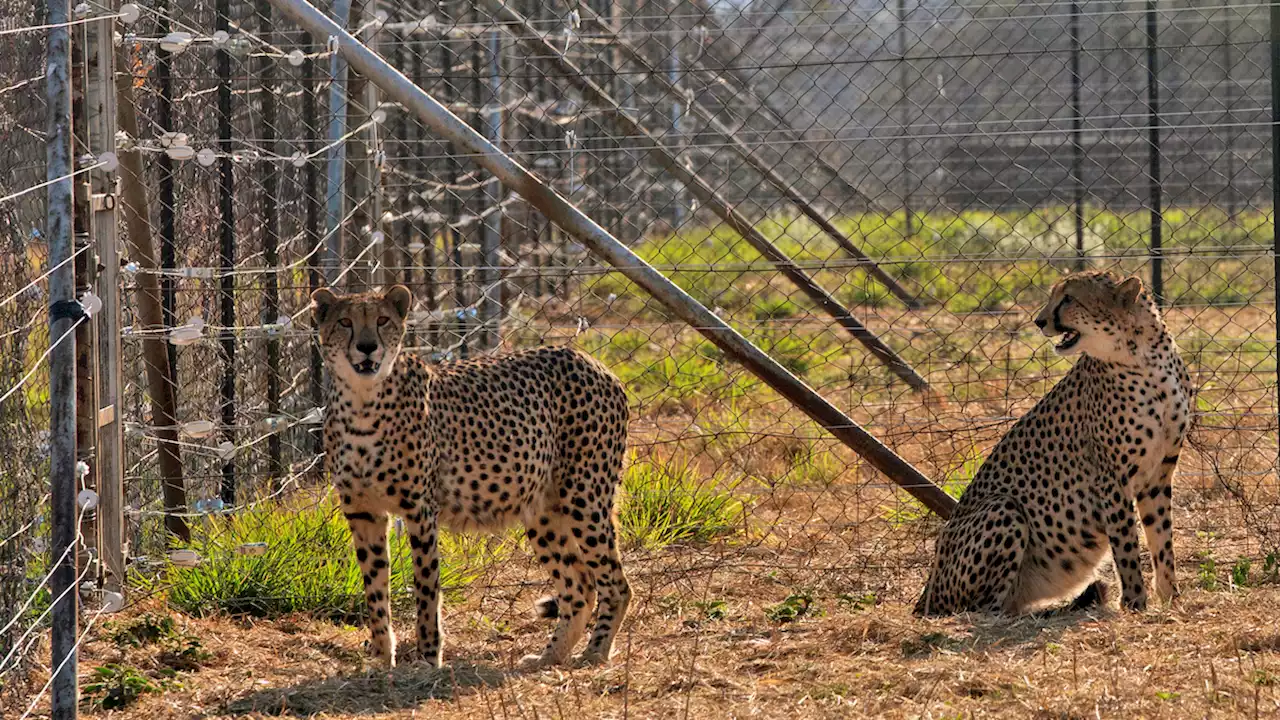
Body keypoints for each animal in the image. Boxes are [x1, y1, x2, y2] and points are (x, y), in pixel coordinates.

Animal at [309, 283, 629, 666]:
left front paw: (428, 657)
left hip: (584, 498)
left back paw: (595, 652)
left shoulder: (420, 509)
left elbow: (426, 588)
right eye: (345, 322)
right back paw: (548, 657)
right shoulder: (363, 512)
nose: (368, 346)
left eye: (382, 320)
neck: (362, 400)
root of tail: (589, 360)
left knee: (616, 583)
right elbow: (374, 589)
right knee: (580, 585)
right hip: (543, 511)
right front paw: (383, 660)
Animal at [916, 271, 1192, 614]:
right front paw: (1134, 603)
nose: (1039, 321)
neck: (1144, 357)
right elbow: (1126, 545)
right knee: (985, 607)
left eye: (1069, 298)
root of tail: (926, 591)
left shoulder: (1158, 474)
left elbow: (1161, 538)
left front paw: (1171, 599)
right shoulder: (1111, 478)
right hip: (1003, 507)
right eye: (1054, 296)